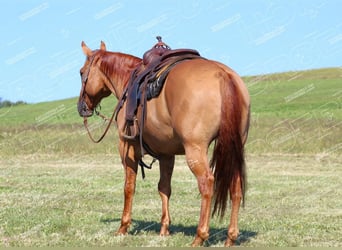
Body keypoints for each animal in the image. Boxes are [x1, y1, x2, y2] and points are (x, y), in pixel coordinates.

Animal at [78, 40, 251, 247]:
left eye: (81, 72)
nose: (82, 107)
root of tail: (223, 74)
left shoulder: (127, 149)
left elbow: (129, 187)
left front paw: (123, 227)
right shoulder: (166, 155)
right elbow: (164, 188)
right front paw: (164, 229)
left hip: (195, 150)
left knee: (207, 183)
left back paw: (200, 236)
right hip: (235, 147)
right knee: (236, 186)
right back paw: (231, 237)